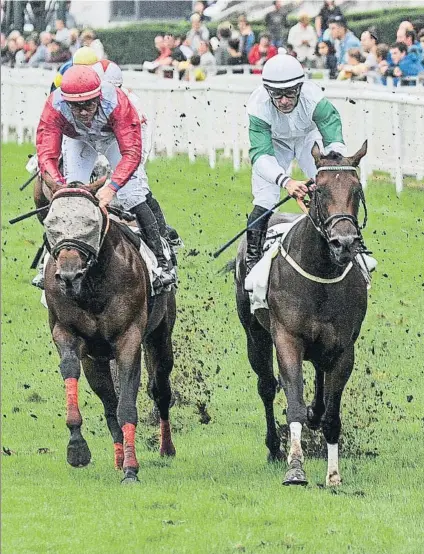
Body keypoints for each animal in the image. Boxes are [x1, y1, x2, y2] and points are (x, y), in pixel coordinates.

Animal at [235, 141, 372, 484]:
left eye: (357, 188)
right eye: (319, 190)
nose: (344, 242)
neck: (320, 273)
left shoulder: (343, 348)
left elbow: (331, 414)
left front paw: (333, 474)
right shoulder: (287, 339)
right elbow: (293, 401)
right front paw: (295, 466)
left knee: (320, 383)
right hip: (254, 334)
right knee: (266, 386)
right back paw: (274, 447)